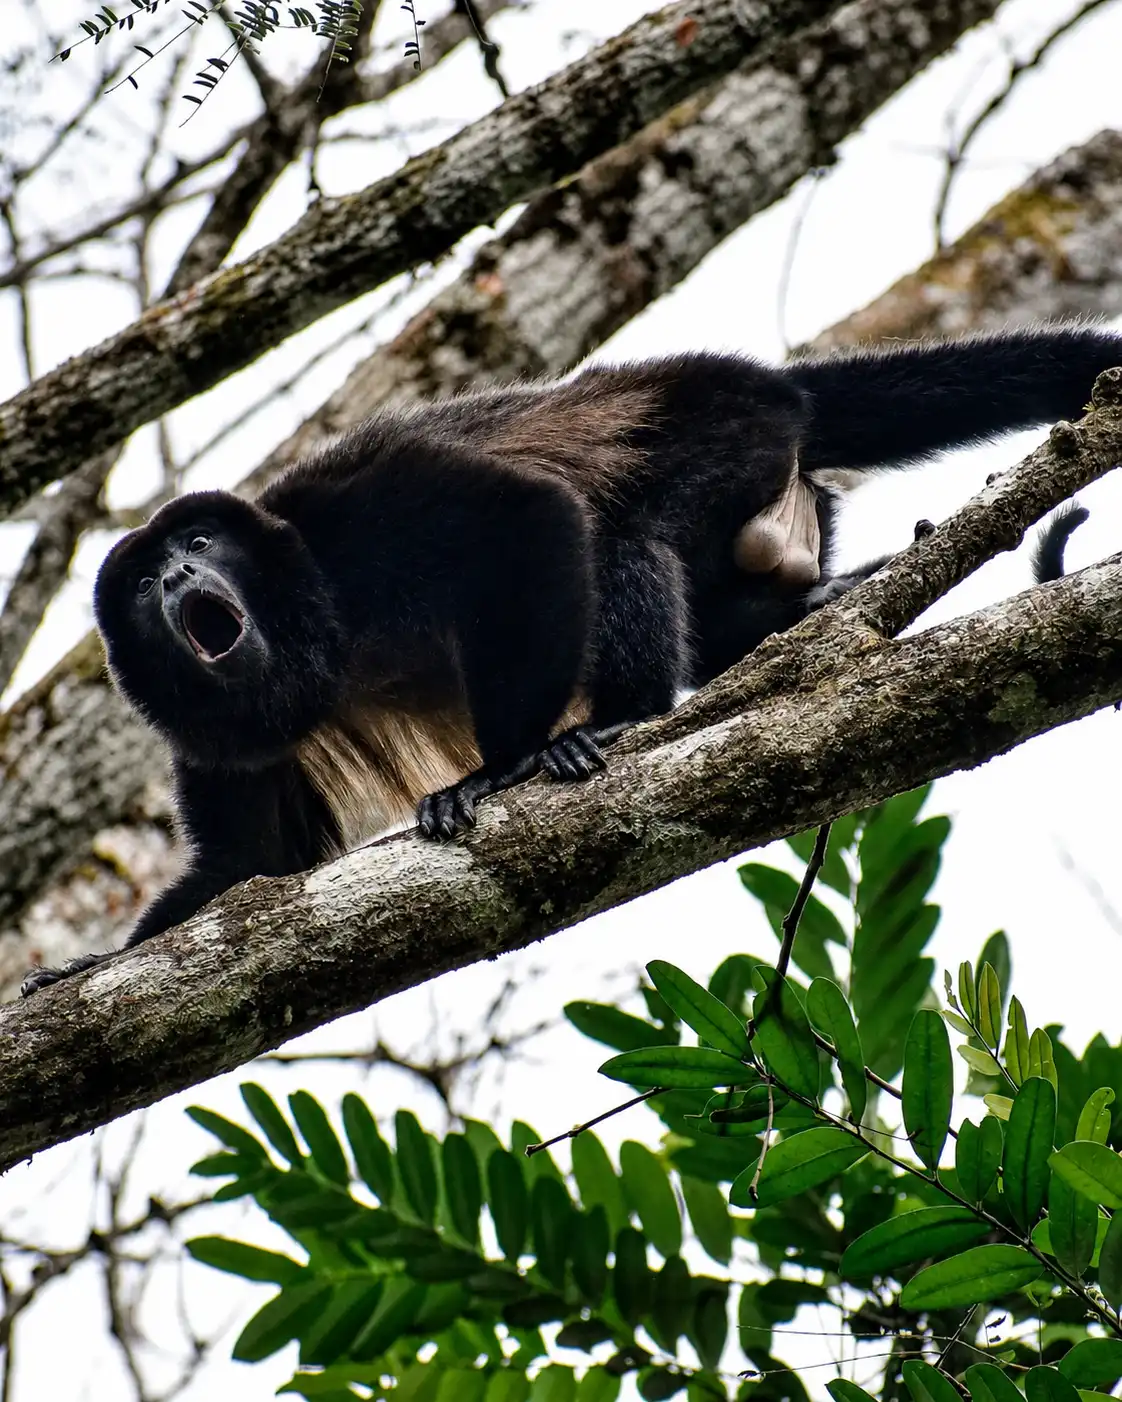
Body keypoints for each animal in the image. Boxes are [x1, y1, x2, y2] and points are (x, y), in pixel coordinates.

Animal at [20, 326, 1122, 995]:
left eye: (198, 544)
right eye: (146, 578)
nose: (173, 578)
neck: (298, 621)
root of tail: (773, 381)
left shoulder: (352, 514)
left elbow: (526, 518)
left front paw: (497, 770)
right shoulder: (203, 734)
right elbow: (246, 865)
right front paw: (82, 969)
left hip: (723, 427)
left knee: (620, 527)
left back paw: (623, 717)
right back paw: (808, 614)